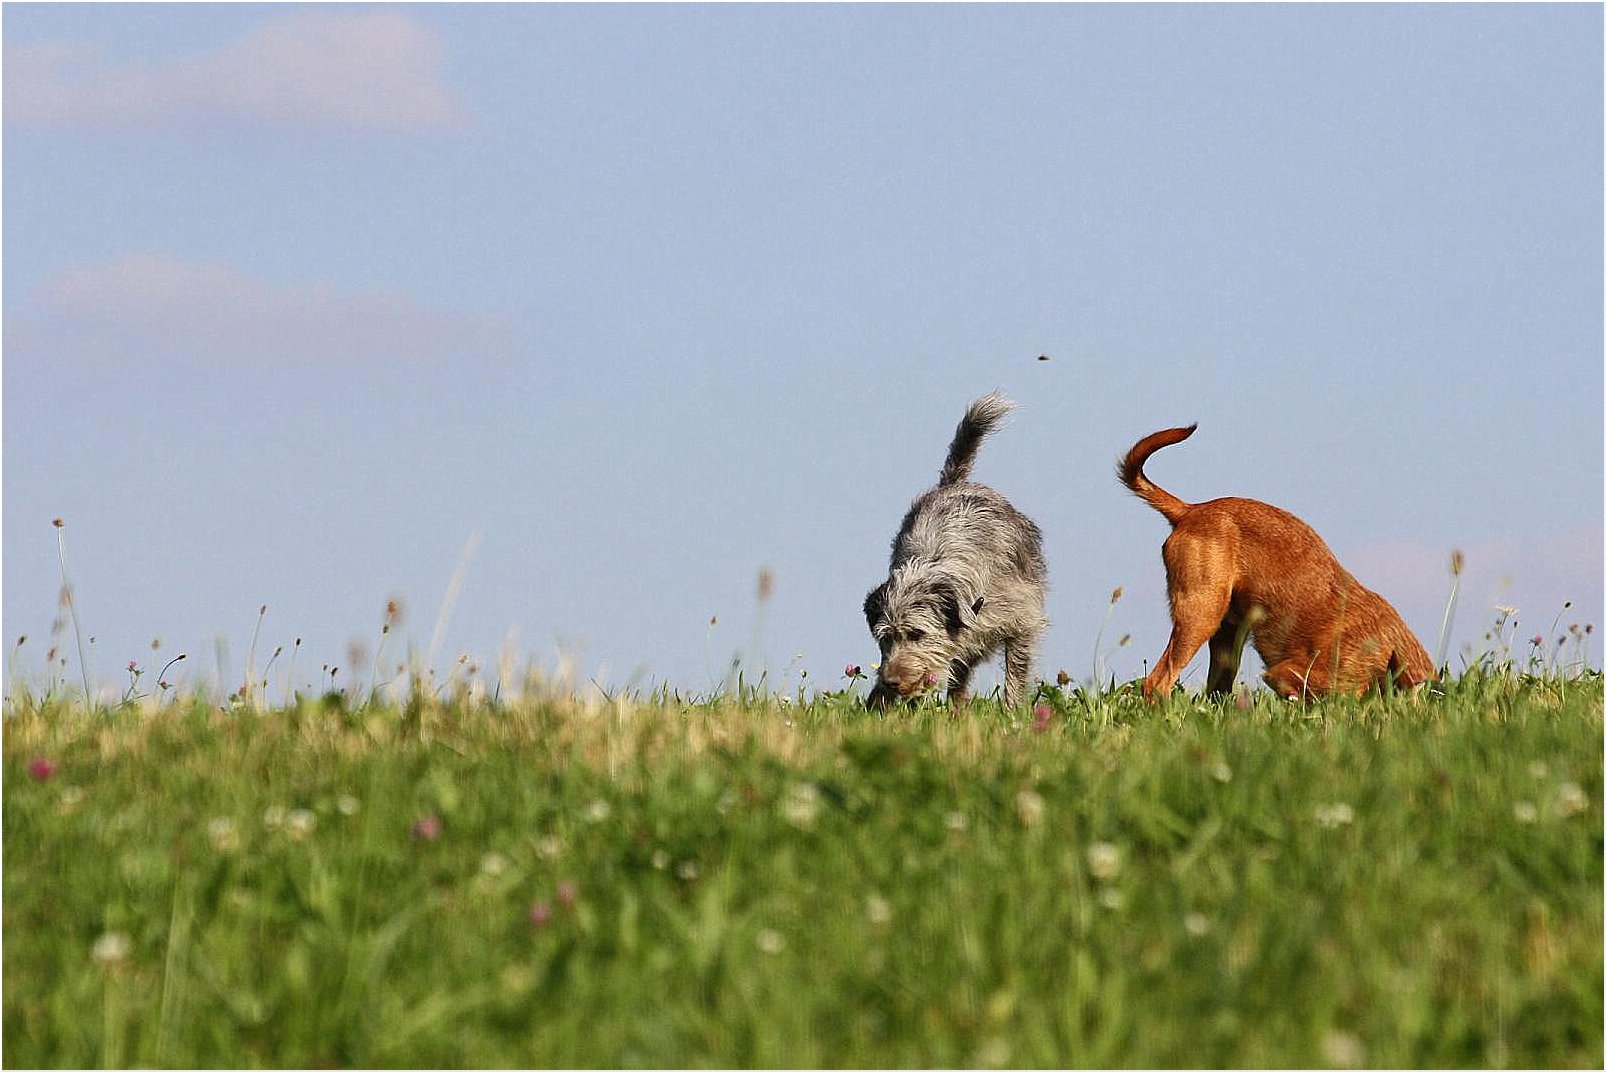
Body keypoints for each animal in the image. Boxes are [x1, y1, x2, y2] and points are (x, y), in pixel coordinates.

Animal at [860, 390, 1047, 707]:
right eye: (884, 637)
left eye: (917, 633)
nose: (892, 681)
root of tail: (954, 483)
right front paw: (877, 705)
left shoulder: (1023, 621)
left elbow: (1016, 671)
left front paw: (1013, 711)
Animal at [1124, 427, 1438, 703]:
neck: (1388, 654)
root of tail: (1191, 510)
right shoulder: (1289, 676)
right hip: (1201, 615)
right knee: (1157, 683)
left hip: (1227, 637)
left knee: (1215, 694)